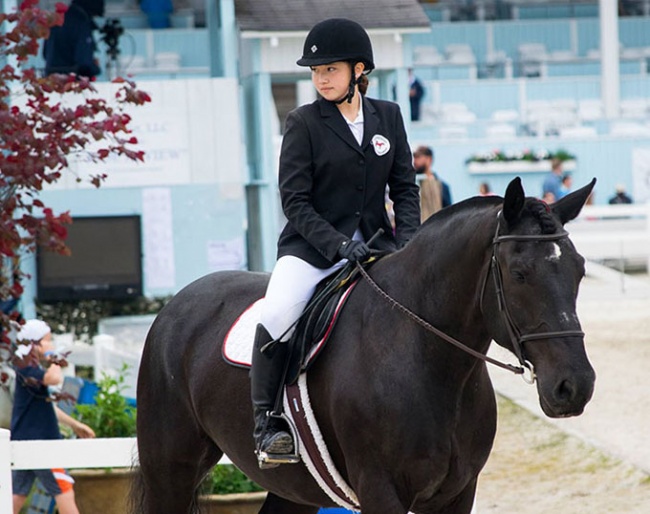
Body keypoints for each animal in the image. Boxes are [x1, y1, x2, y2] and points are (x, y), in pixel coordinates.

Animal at [133, 177, 596, 512]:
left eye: (579, 269)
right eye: (519, 273)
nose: (574, 386)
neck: (428, 359)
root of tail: (178, 303)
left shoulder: (457, 493)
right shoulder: (381, 490)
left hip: (292, 488)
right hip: (169, 469)